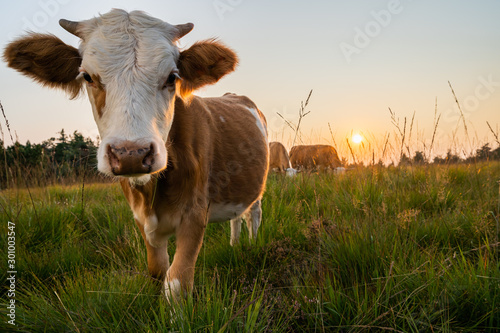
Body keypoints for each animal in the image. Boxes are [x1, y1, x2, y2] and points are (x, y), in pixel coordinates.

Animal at [3, 9, 270, 300]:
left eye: (172, 77)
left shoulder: (195, 213)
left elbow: (177, 283)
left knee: (253, 214)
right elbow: (157, 271)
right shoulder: (142, 219)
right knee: (237, 218)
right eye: (87, 76)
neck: (150, 191)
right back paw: (234, 245)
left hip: (257, 186)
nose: (131, 154)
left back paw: (252, 245)